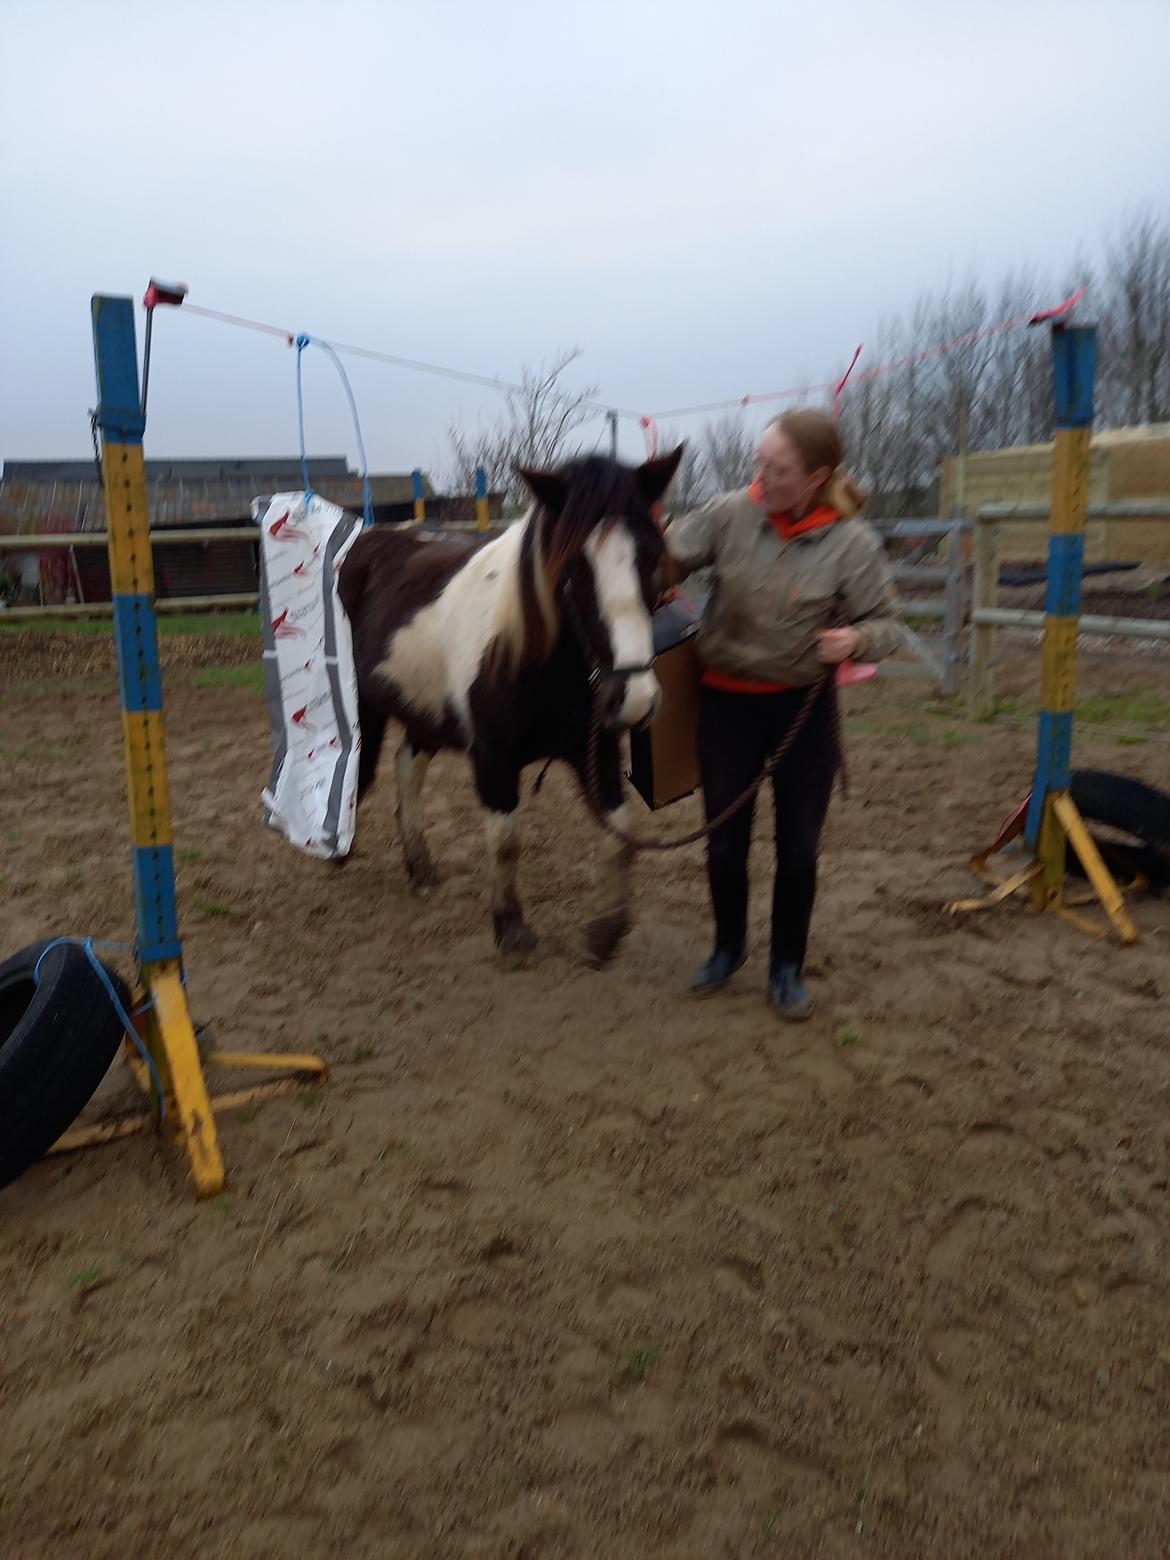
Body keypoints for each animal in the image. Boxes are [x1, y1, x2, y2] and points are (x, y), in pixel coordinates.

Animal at [338, 449, 683, 960]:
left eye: (652, 557)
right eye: (572, 566)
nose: (635, 698)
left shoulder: (596, 751)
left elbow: (618, 831)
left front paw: (606, 930)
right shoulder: (492, 759)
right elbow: (505, 841)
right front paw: (511, 927)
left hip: (424, 714)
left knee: (407, 772)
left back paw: (420, 868)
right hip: (365, 706)